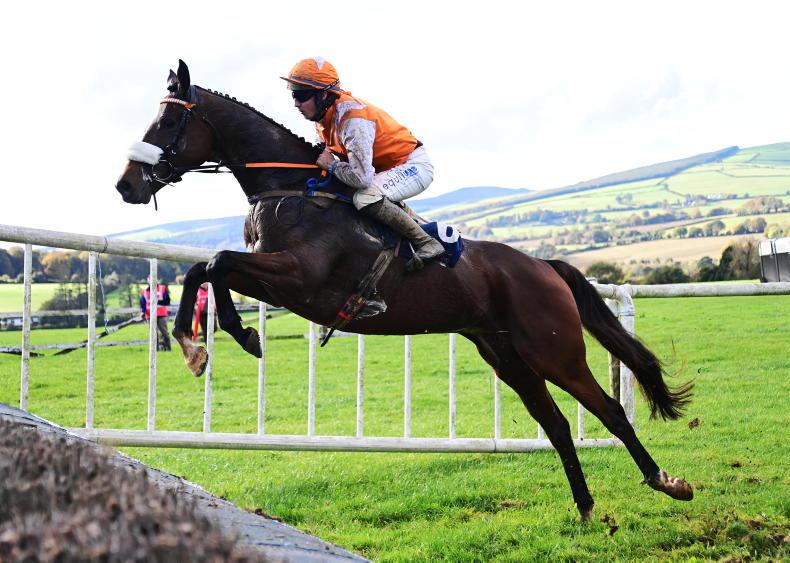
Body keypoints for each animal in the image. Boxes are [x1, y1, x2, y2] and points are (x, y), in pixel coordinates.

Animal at [115, 60, 694, 520]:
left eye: (168, 120)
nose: (125, 184)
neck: (290, 188)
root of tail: (543, 265)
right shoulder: (278, 279)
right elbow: (207, 269)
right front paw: (210, 341)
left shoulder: (300, 280)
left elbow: (215, 262)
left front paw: (217, 340)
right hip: (507, 356)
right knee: (554, 424)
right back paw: (586, 506)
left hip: (553, 349)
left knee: (609, 410)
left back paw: (666, 482)